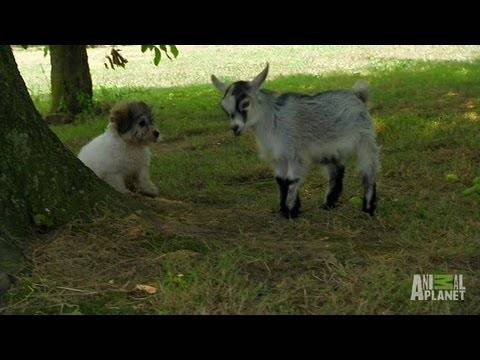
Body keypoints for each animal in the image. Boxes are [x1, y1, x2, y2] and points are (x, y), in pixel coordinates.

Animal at [212, 63, 380, 218]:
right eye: (224, 108)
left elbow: (292, 180)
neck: (271, 119)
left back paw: (368, 208)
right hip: (325, 148)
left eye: (245, 103)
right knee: (337, 169)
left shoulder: (294, 153)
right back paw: (328, 204)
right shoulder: (277, 156)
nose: (235, 127)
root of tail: (357, 95)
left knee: (369, 169)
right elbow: (281, 180)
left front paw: (291, 211)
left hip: (365, 139)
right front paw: (283, 209)